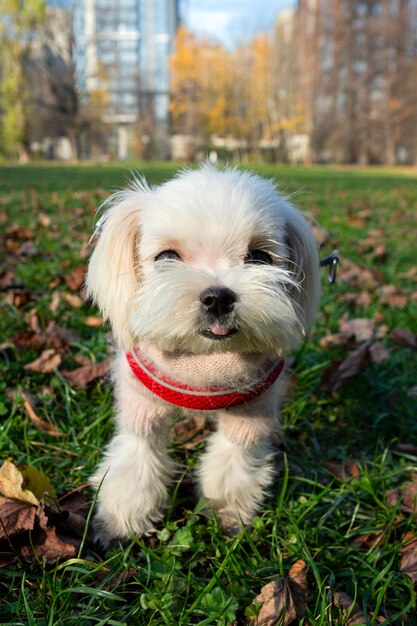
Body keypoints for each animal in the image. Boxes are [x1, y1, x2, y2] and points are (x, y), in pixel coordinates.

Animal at [84, 163, 318, 544]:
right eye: (166, 257)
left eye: (259, 257)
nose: (218, 297)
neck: (204, 362)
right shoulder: (141, 401)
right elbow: (138, 455)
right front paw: (123, 521)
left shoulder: (252, 408)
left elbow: (232, 463)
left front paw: (225, 513)